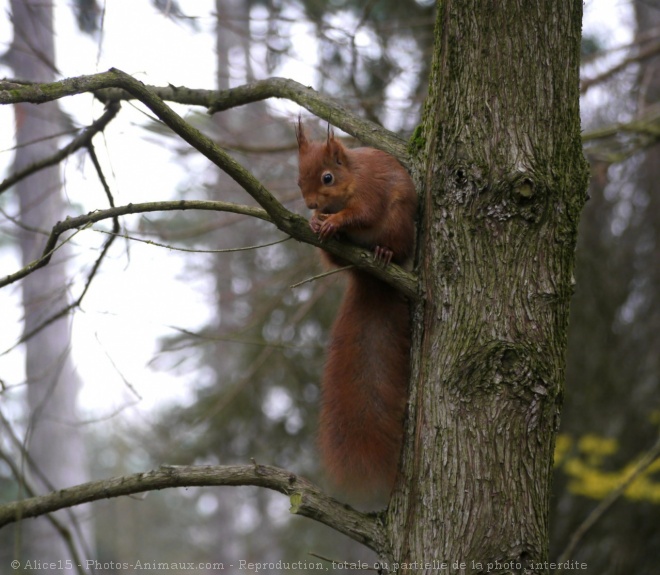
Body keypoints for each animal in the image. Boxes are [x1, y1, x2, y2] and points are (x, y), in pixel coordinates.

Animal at [296, 120, 416, 500]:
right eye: (298, 180)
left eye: (327, 178)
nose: (310, 203)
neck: (352, 177)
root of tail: (368, 275)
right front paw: (316, 220)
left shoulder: (370, 192)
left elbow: (362, 213)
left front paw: (335, 221)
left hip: (398, 225)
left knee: (390, 242)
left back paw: (383, 252)